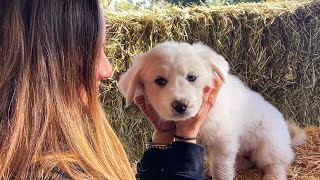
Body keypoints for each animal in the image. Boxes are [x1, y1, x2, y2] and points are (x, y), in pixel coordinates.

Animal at [118, 41, 308, 179]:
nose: (180, 105)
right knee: (247, 161)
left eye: (192, 77)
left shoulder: (222, 143)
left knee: (277, 163)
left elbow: (222, 171)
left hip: (269, 146)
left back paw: (273, 175)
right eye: (160, 81)